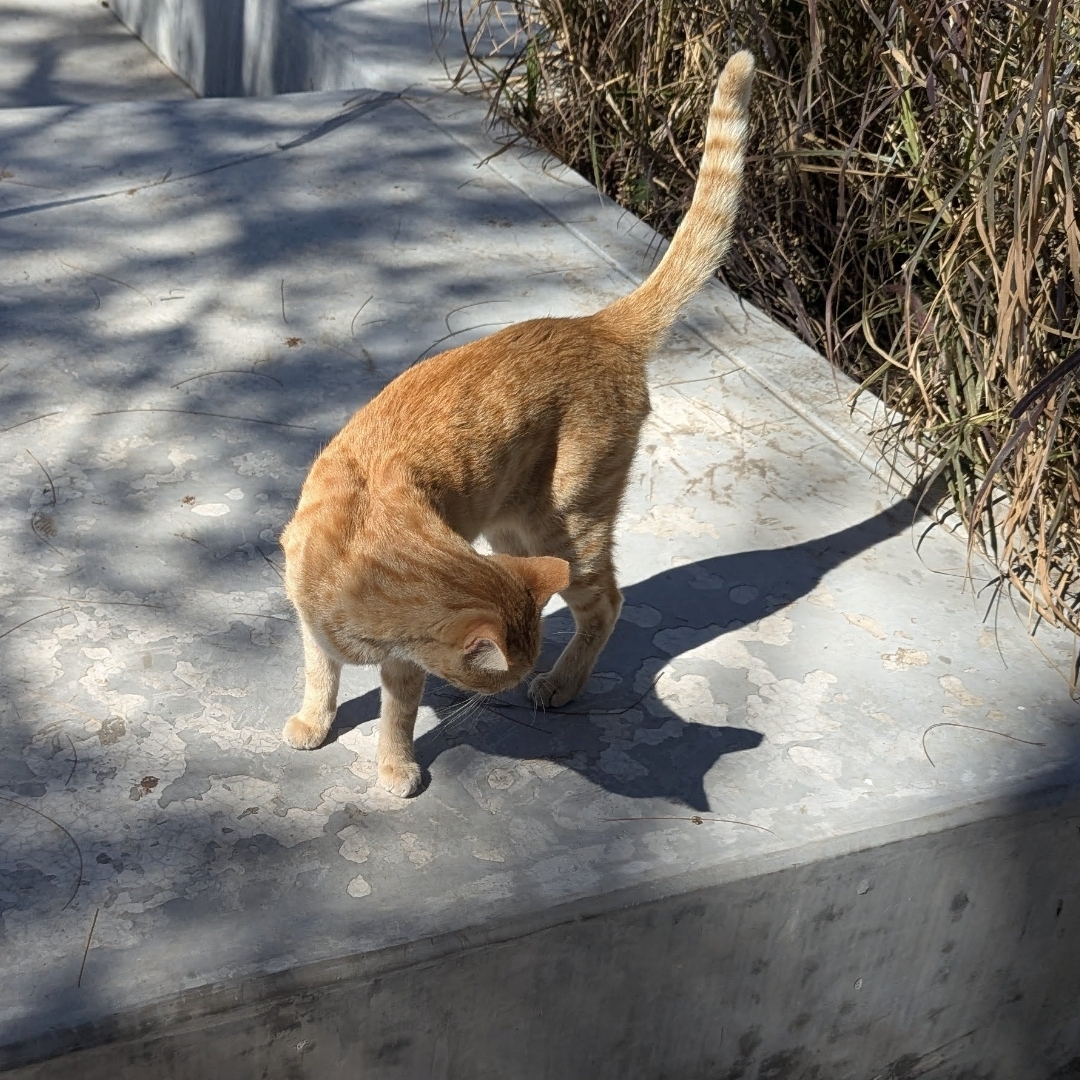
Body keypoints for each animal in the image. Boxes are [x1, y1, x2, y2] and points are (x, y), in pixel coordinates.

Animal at [279, 50, 755, 797]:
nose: (511, 688)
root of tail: (597, 325)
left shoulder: (403, 663)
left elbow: (395, 713)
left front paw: (395, 767)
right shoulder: (310, 622)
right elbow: (318, 673)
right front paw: (312, 722)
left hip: (565, 525)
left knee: (609, 603)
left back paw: (564, 685)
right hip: (516, 530)